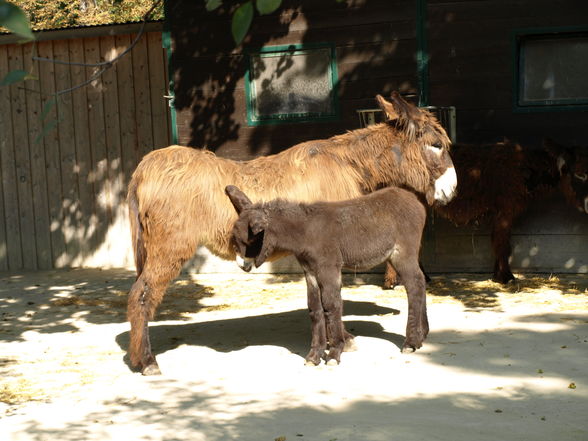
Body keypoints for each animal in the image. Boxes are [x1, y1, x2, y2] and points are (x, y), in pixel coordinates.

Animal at [226, 183, 428, 364]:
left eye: (247, 240)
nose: (241, 265)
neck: (306, 231)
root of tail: (414, 200)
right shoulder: (310, 271)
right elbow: (314, 309)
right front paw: (314, 356)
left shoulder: (328, 267)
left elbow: (331, 305)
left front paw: (334, 353)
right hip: (397, 255)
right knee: (420, 282)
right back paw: (422, 335)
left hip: (403, 253)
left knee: (414, 286)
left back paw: (411, 342)